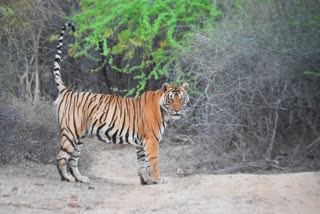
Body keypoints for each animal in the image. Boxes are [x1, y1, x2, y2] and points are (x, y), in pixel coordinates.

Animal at [52, 23, 188, 184]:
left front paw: (145, 180)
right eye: (171, 99)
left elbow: (142, 163)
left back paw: (81, 178)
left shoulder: (141, 143)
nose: (177, 110)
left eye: (181, 99)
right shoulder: (151, 140)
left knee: (73, 159)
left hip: (80, 137)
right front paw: (158, 180)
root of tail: (68, 91)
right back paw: (67, 178)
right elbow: (153, 161)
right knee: (61, 157)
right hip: (71, 132)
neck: (164, 112)